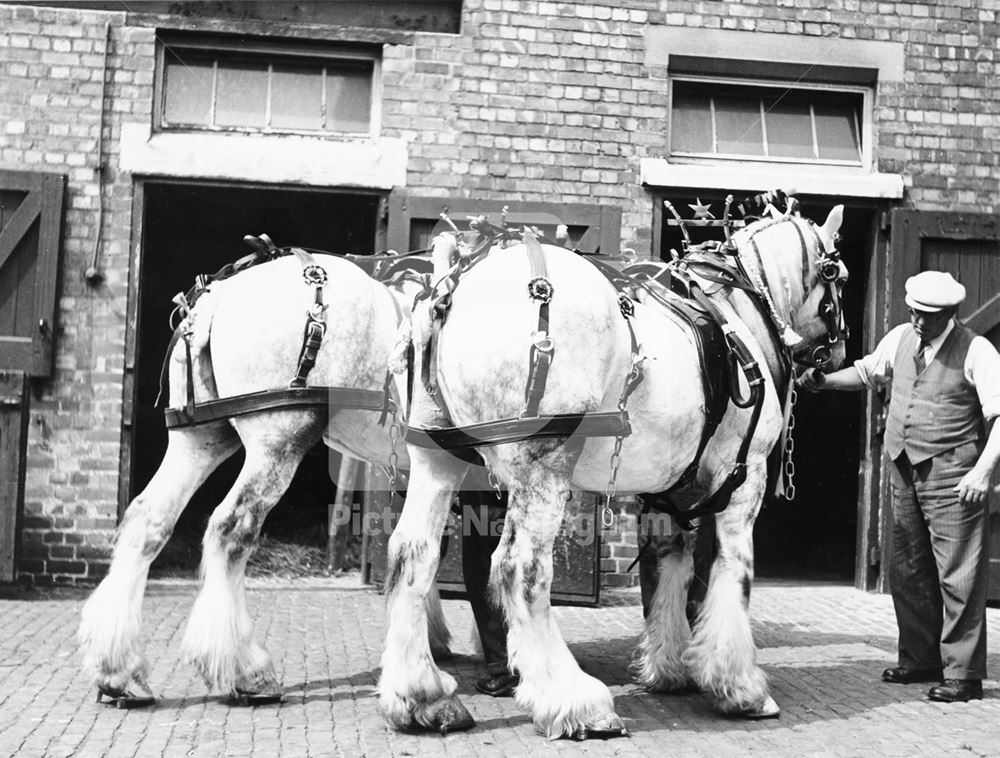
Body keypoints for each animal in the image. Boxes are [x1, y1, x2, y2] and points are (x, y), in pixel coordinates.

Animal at [78, 243, 438, 708]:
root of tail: (216, 297)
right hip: (276, 441)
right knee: (231, 529)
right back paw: (244, 670)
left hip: (200, 438)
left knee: (148, 519)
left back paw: (116, 669)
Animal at [378, 203, 848, 744]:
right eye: (839, 274)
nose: (835, 358)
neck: (739, 313)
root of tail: (451, 288)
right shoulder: (743, 479)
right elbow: (735, 572)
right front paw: (739, 684)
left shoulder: (667, 492)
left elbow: (670, 565)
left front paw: (670, 666)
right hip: (543, 467)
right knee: (520, 568)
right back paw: (574, 702)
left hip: (437, 460)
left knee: (412, 554)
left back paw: (421, 697)